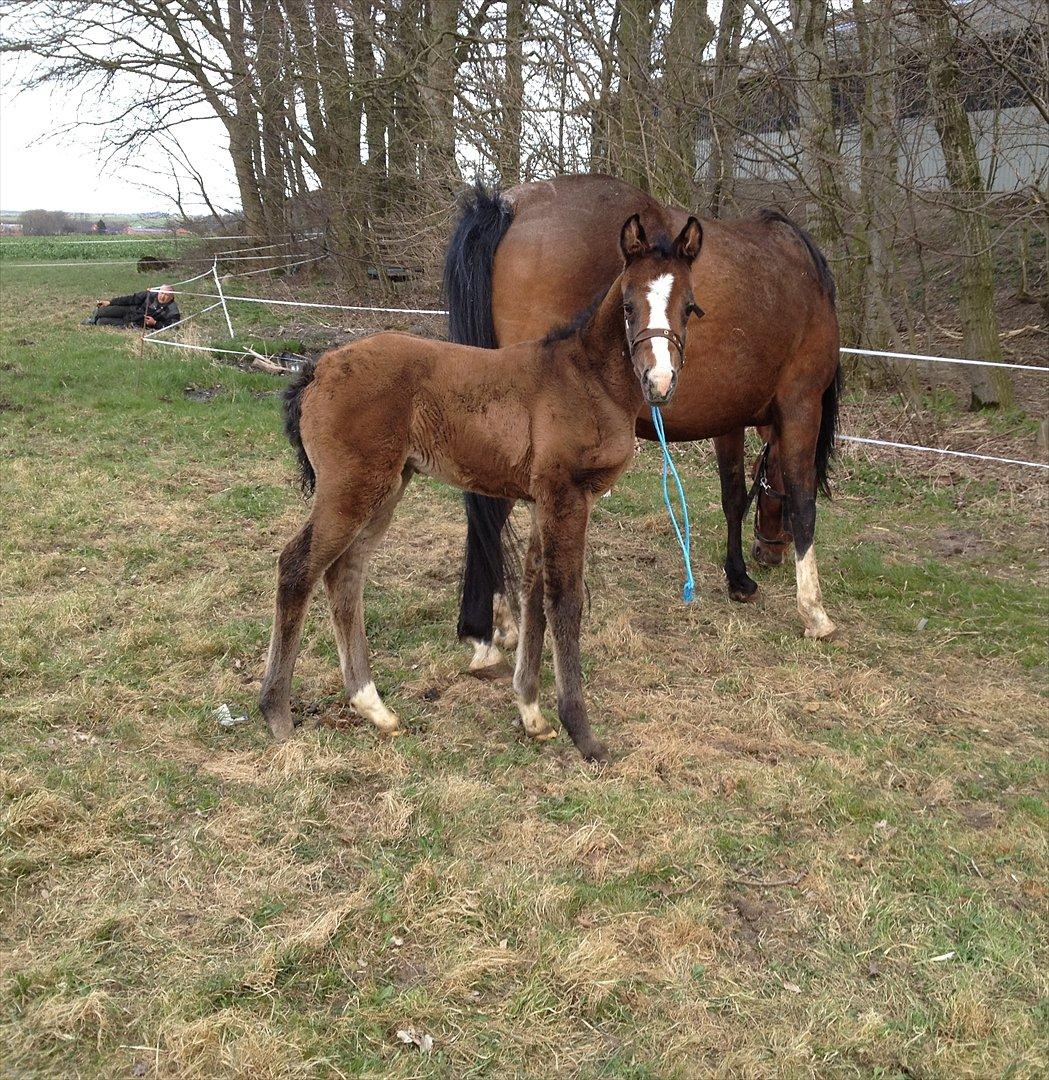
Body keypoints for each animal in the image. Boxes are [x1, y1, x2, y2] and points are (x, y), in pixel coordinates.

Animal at [262, 217, 704, 760]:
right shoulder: (566, 497)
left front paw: (531, 713)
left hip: (385, 488)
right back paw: (277, 712)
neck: (587, 380)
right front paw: (582, 732)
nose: (660, 381)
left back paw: (373, 706)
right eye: (627, 305)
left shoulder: (543, 501)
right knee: (298, 566)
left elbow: (535, 590)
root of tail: (316, 368)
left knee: (344, 572)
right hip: (351, 488)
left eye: (689, 306)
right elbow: (565, 600)